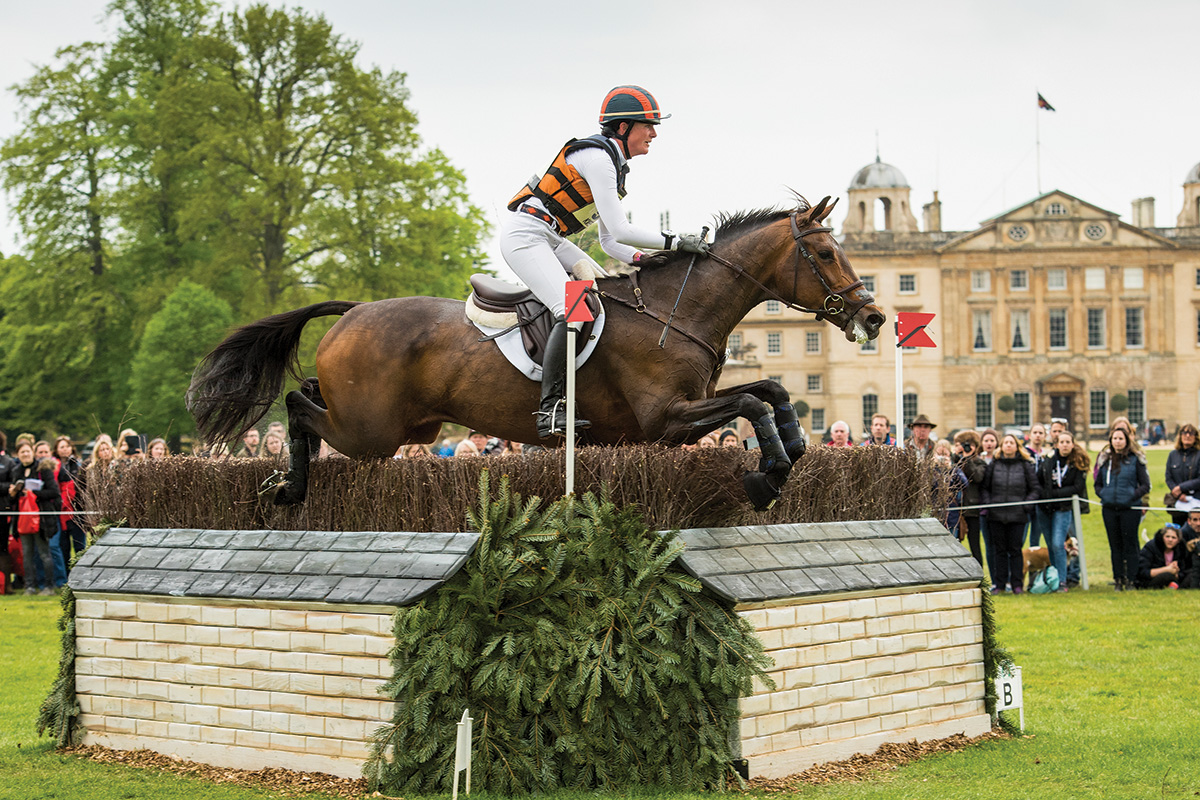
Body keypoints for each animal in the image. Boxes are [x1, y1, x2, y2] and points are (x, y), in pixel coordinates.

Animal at [184, 194, 883, 510]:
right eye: (826, 254)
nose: (873, 315)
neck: (675, 311)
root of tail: (354, 311)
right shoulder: (666, 422)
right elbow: (753, 403)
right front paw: (765, 475)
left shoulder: (687, 412)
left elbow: (770, 392)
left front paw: (787, 457)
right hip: (370, 430)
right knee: (297, 404)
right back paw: (287, 485)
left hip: (409, 427)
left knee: (306, 401)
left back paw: (288, 484)